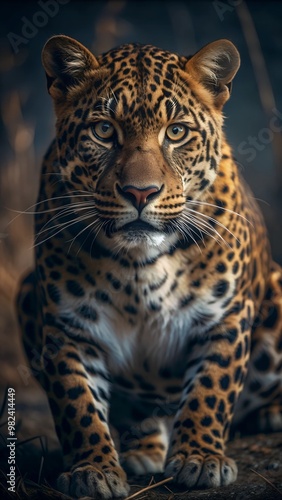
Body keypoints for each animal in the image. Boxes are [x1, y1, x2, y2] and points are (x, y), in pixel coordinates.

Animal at [16, 34, 282, 496]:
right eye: (104, 130)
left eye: (176, 132)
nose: (141, 193)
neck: (140, 264)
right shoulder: (68, 327)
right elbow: (77, 405)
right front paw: (93, 470)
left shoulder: (227, 316)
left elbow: (211, 389)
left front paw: (200, 458)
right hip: (25, 291)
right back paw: (142, 448)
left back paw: (270, 414)